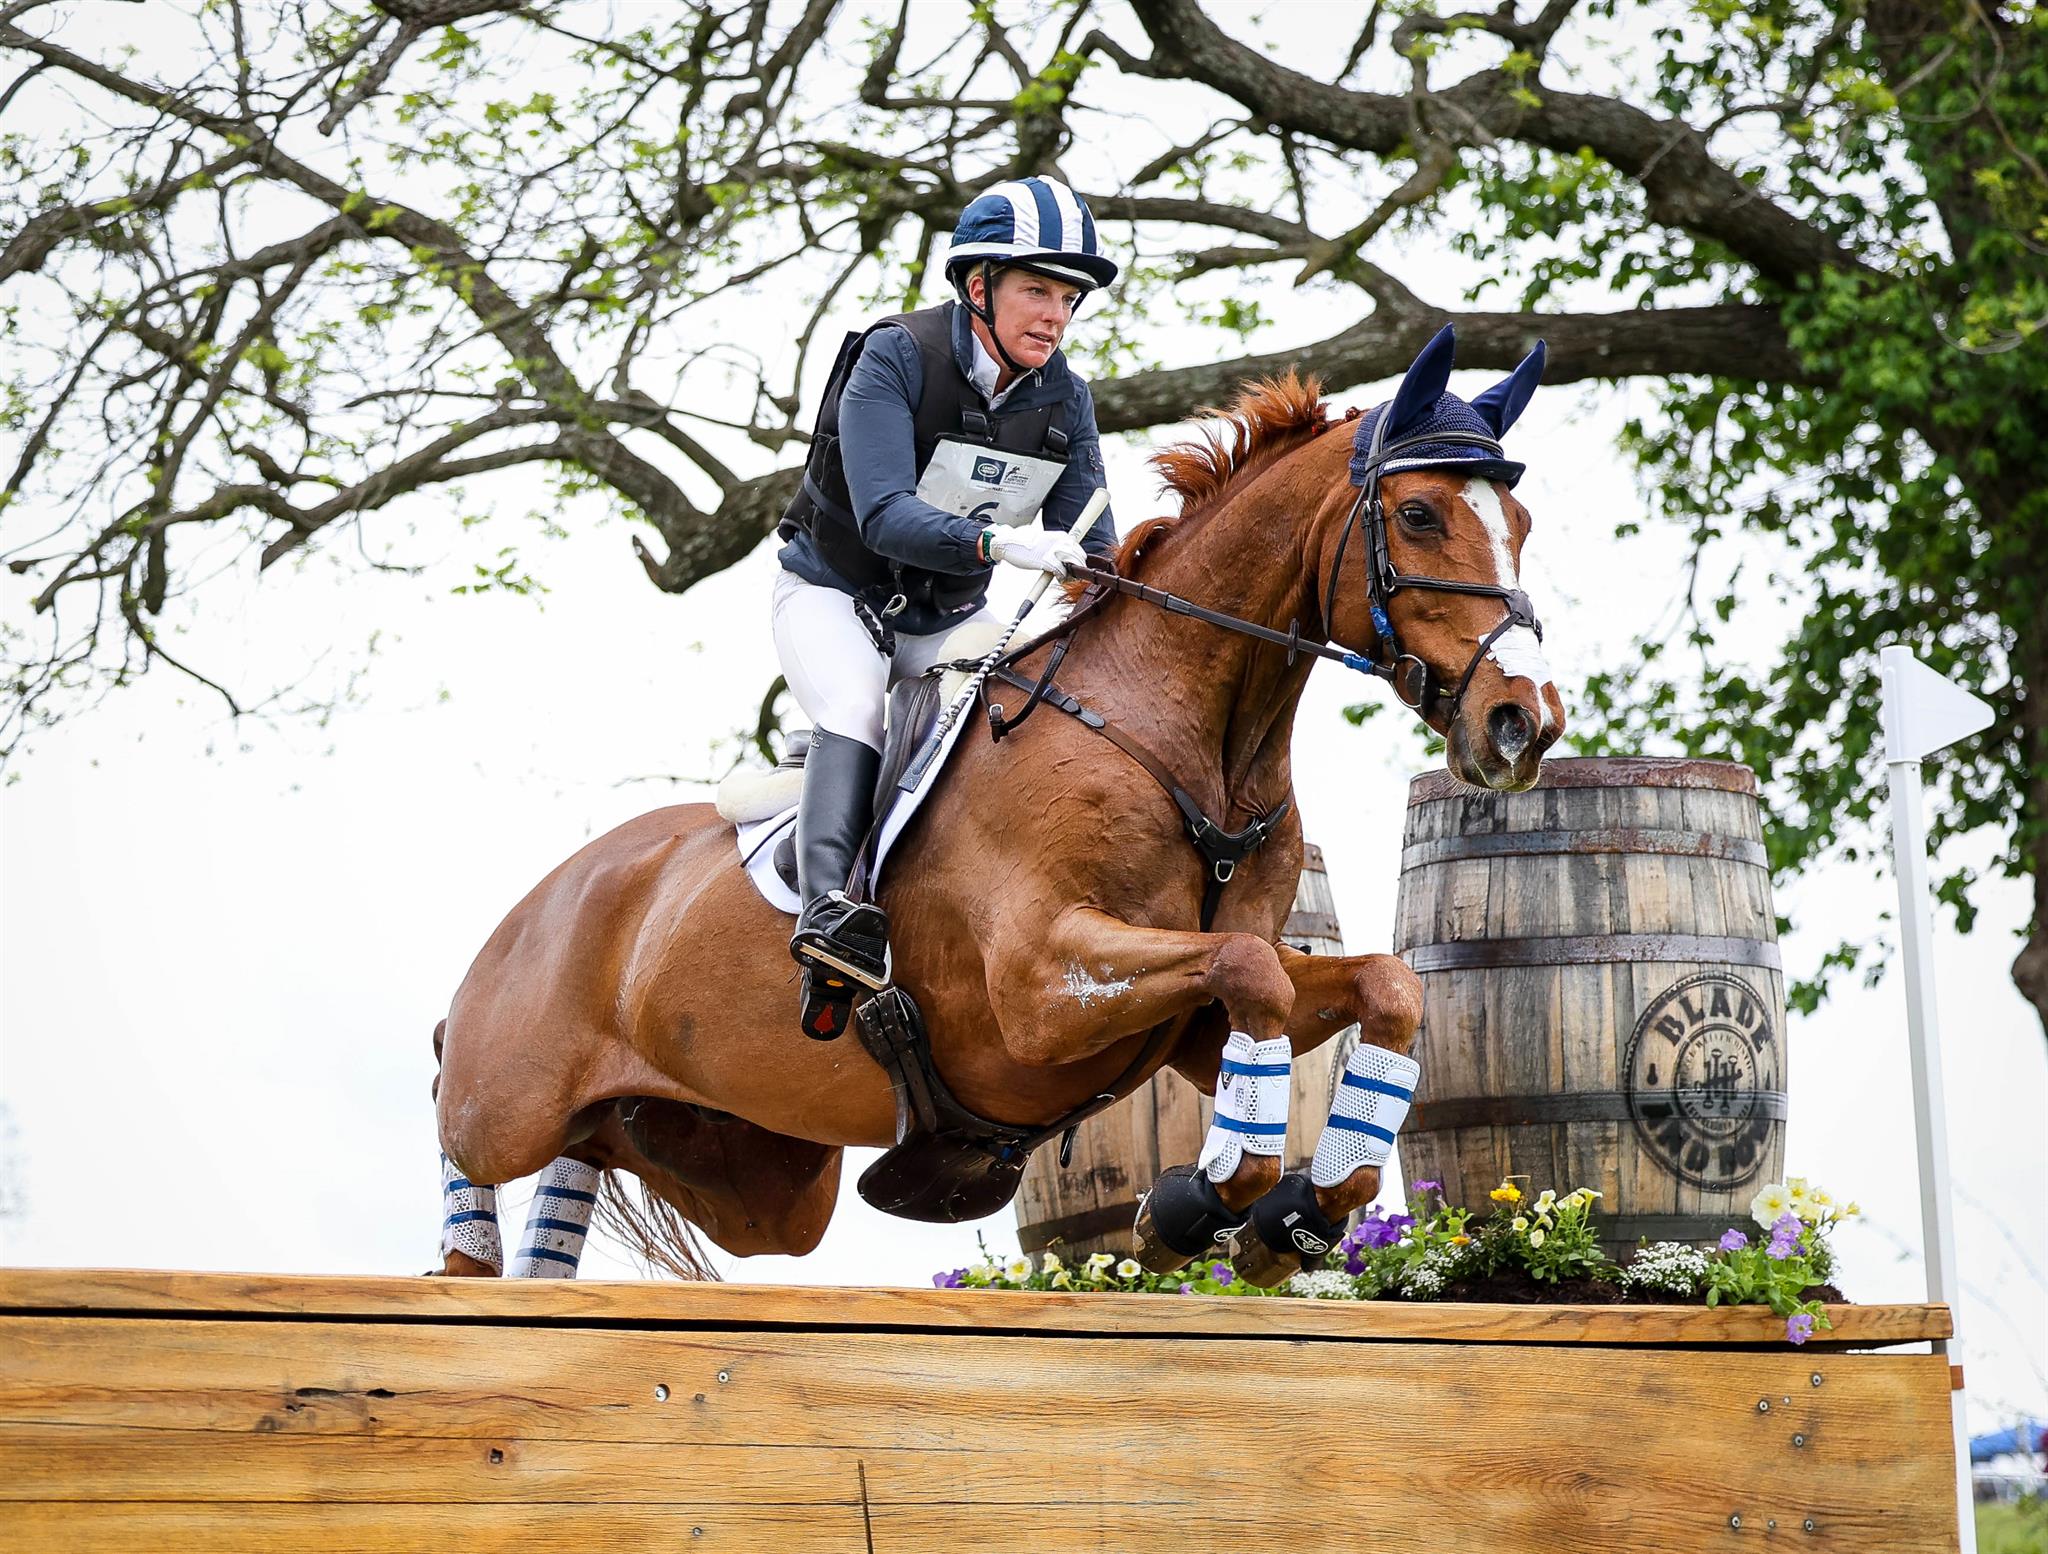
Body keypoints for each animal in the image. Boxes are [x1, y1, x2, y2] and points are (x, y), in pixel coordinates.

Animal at [428, 325, 1548, 1277]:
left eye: (1521, 522)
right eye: (1416, 514)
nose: (1522, 721)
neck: (1191, 748)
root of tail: (547, 896)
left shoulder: (1191, 1029)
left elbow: (1377, 988)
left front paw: (1295, 1212)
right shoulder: (1040, 989)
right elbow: (1246, 969)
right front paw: (1211, 1196)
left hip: (757, 1176)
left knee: (608, 1148)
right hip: (506, 1096)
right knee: (456, 1108)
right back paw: (466, 1250)